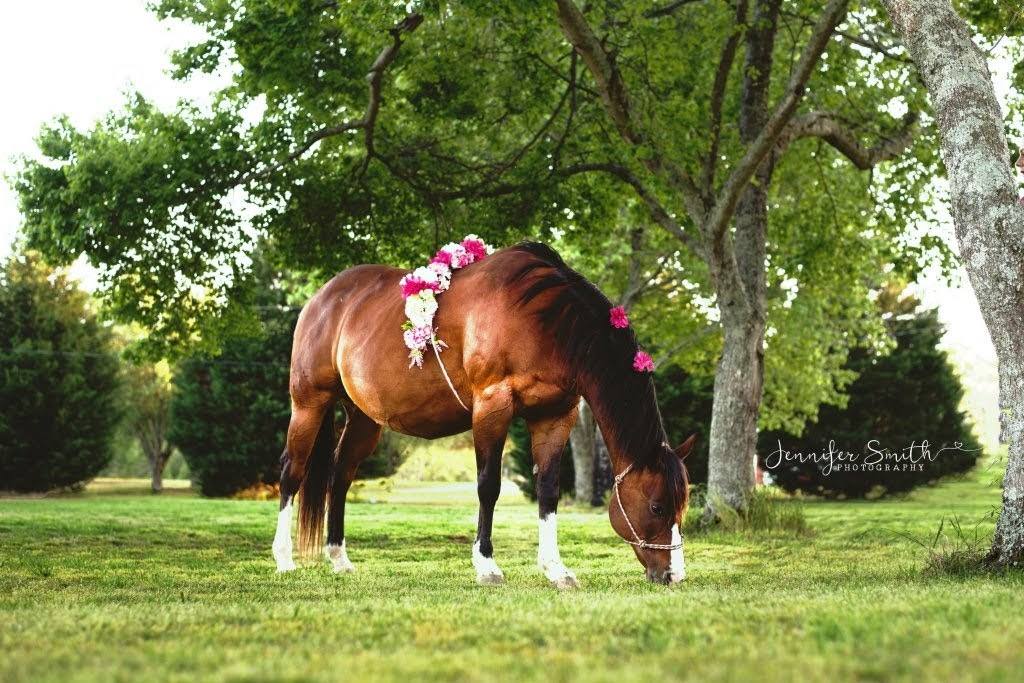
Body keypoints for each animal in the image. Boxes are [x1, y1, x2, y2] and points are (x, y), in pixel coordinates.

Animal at [271, 241, 696, 587]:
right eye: (657, 506)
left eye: (682, 506)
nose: (674, 575)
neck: (543, 319)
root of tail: (322, 298)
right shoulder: (493, 406)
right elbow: (488, 486)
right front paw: (487, 565)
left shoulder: (555, 416)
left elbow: (548, 490)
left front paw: (555, 569)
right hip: (308, 405)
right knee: (292, 473)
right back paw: (284, 559)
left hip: (363, 419)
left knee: (340, 477)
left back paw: (339, 559)